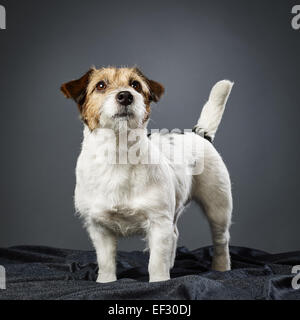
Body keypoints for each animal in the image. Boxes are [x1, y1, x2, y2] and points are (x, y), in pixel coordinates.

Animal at [61, 67, 233, 282]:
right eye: (100, 85)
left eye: (135, 85)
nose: (126, 96)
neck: (119, 154)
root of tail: (199, 134)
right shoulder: (99, 226)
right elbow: (105, 260)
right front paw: (105, 281)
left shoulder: (158, 223)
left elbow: (156, 262)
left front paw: (160, 281)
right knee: (174, 234)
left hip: (218, 205)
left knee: (221, 239)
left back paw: (221, 267)